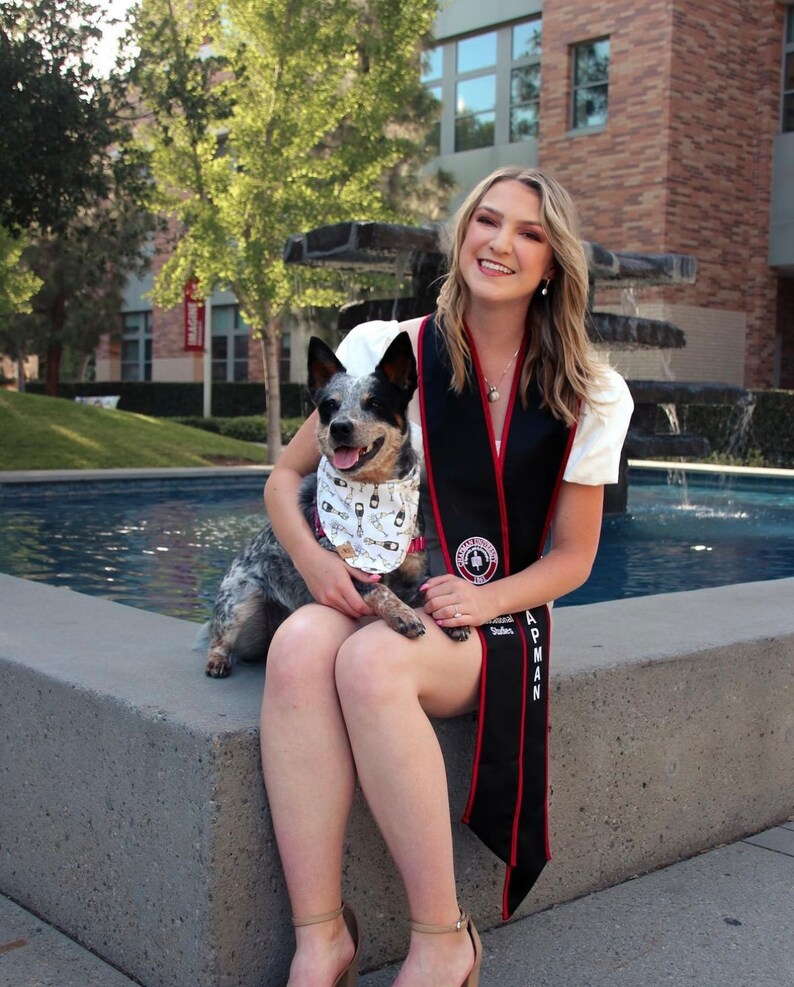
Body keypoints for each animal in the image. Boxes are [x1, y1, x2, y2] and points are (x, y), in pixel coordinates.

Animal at [201, 332, 468, 680]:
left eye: (375, 403)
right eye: (329, 405)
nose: (340, 426)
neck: (373, 490)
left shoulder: (414, 575)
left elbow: (428, 589)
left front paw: (449, 615)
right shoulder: (345, 570)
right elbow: (378, 590)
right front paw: (402, 613)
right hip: (240, 601)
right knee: (220, 635)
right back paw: (217, 659)